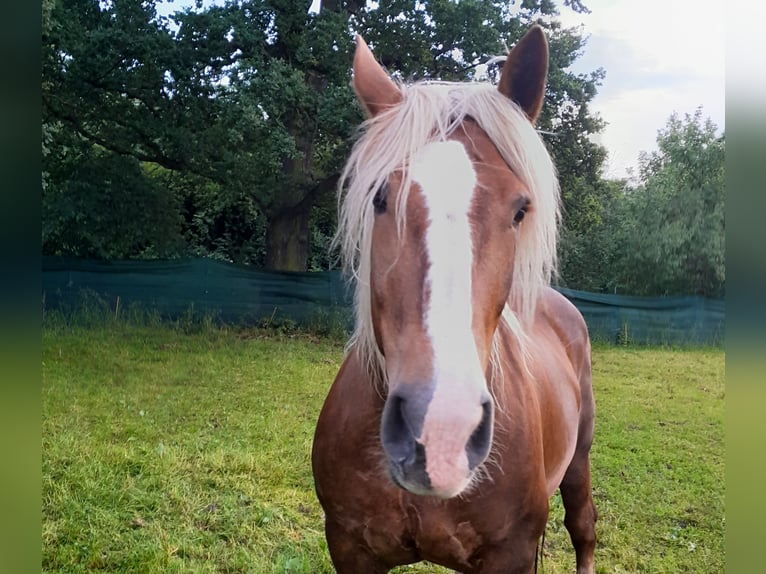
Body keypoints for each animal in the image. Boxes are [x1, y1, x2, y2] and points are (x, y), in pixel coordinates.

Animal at [311, 26, 597, 574]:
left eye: (520, 209)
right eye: (380, 197)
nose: (441, 430)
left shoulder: (512, 554)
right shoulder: (350, 549)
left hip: (579, 462)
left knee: (584, 530)